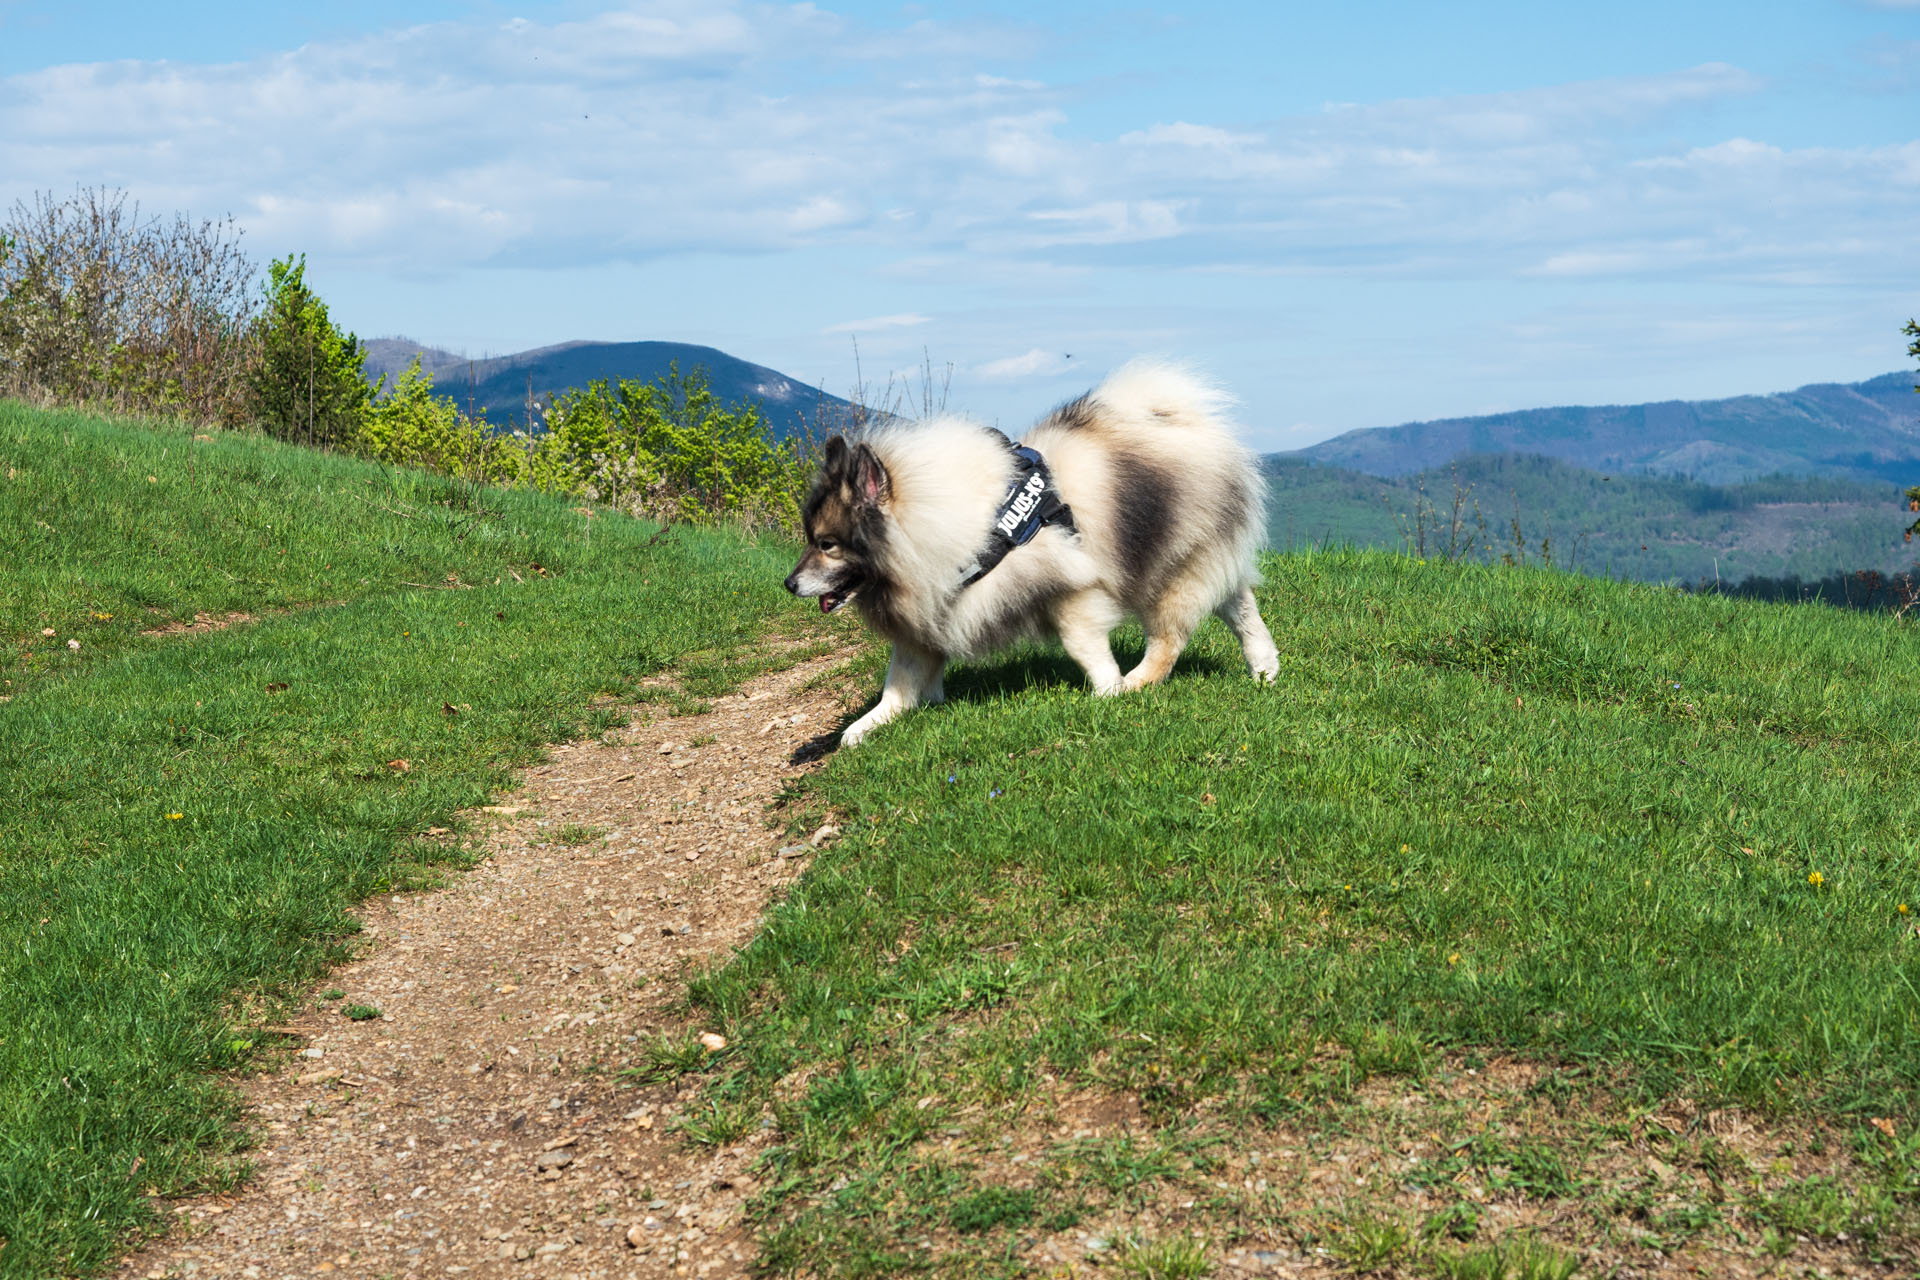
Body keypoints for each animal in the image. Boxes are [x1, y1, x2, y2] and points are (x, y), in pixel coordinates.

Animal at [787, 360, 1282, 744]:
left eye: (828, 545)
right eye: (810, 538)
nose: (789, 583)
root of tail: (1181, 421)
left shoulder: (1071, 591)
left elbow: (1083, 646)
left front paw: (1110, 692)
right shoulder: (928, 620)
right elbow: (898, 686)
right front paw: (862, 730)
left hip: (1166, 570)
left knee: (1170, 639)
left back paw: (1138, 682)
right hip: (1200, 561)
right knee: (1242, 609)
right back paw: (1265, 669)